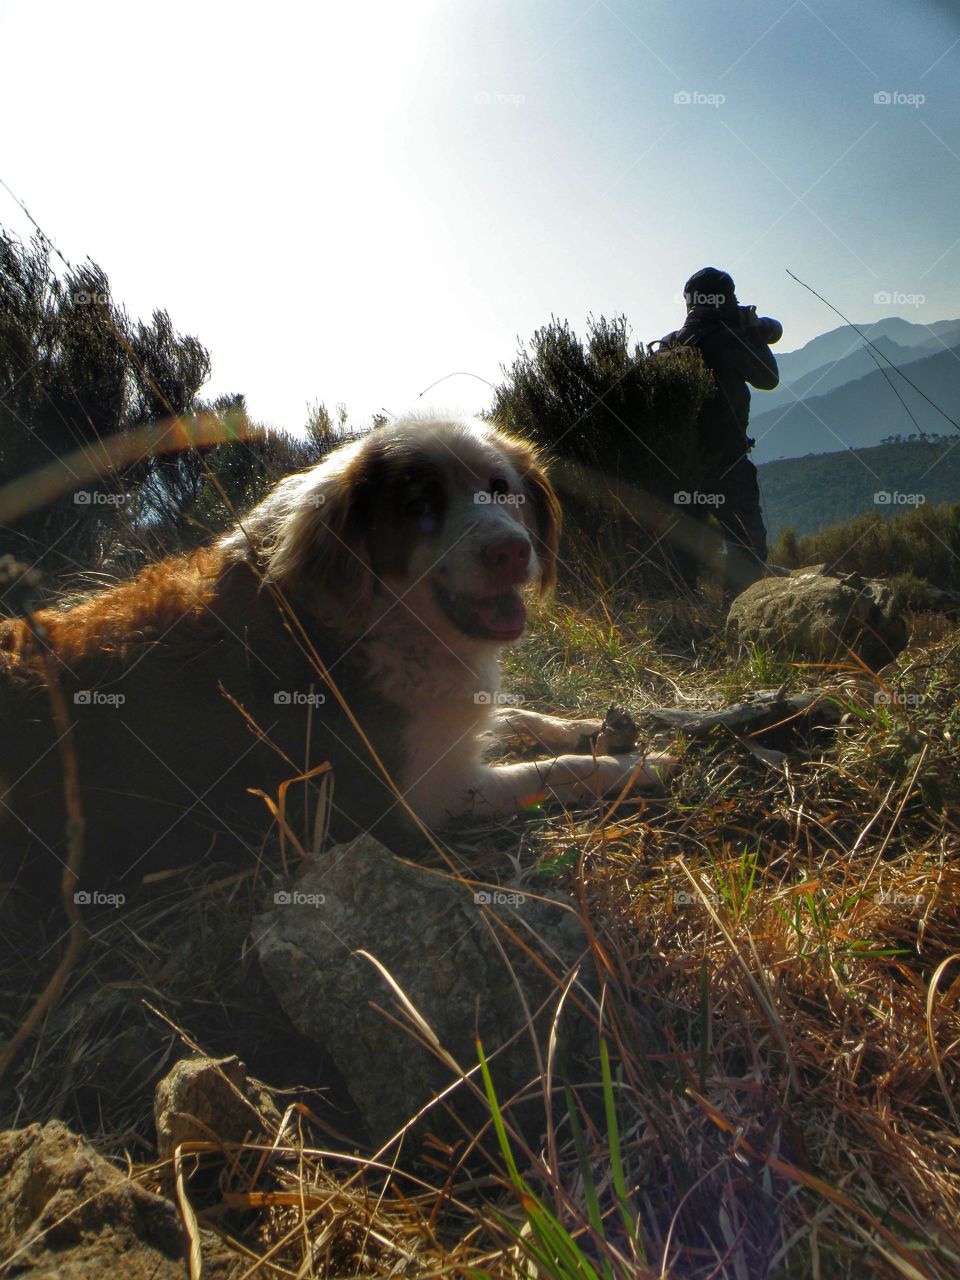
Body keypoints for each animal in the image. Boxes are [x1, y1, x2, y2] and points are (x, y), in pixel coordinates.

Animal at [1, 414, 675, 896]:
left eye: (500, 489)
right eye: (418, 507)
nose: (513, 552)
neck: (385, 619)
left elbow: (516, 717)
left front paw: (588, 726)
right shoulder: (418, 800)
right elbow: (552, 771)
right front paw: (634, 764)